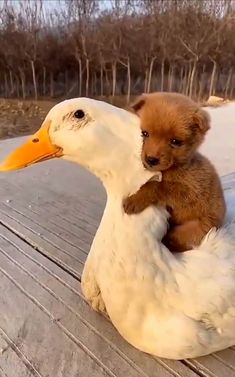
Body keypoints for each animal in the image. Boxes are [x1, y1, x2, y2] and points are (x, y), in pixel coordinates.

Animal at [123, 92, 226, 253]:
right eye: (144, 133)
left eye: (176, 141)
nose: (151, 159)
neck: (178, 166)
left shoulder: (191, 191)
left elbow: (158, 186)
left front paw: (135, 200)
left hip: (193, 229)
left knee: (176, 241)